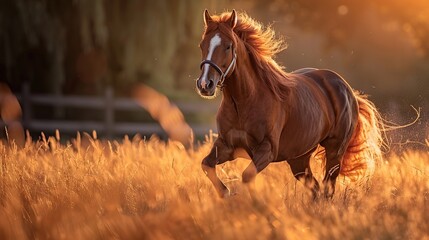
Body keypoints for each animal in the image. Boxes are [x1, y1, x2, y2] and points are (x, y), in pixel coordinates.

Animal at [196, 9, 382, 199]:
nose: (205, 84)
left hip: (334, 152)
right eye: (202, 45)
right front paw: (225, 193)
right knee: (316, 190)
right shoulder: (226, 146)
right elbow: (206, 165)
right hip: (298, 159)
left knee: (327, 189)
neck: (244, 102)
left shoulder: (266, 150)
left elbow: (246, 175)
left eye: (228, 46)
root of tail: (348, 91)